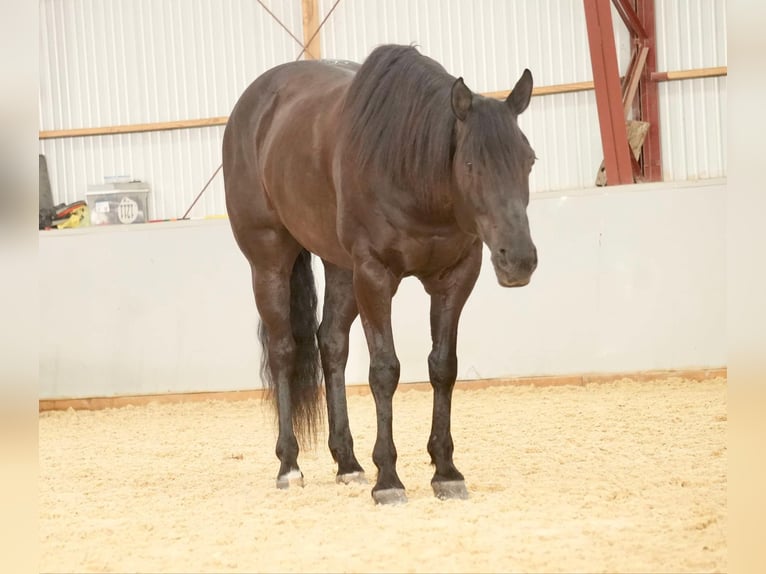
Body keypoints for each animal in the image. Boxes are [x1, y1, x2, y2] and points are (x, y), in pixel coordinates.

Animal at [224, 44, 540, 504]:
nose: (518, 259)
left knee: (331, 344)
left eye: (528, 160)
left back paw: (348, 463)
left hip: (341, 268)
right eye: (469, 164)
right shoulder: (374, 275)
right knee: (284, 350)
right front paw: (388, 478)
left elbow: (443, 366)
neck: (409, 167)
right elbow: (385, 370)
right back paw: (289, 465)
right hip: (269, 261)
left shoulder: (456, 278)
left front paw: (445, 471)